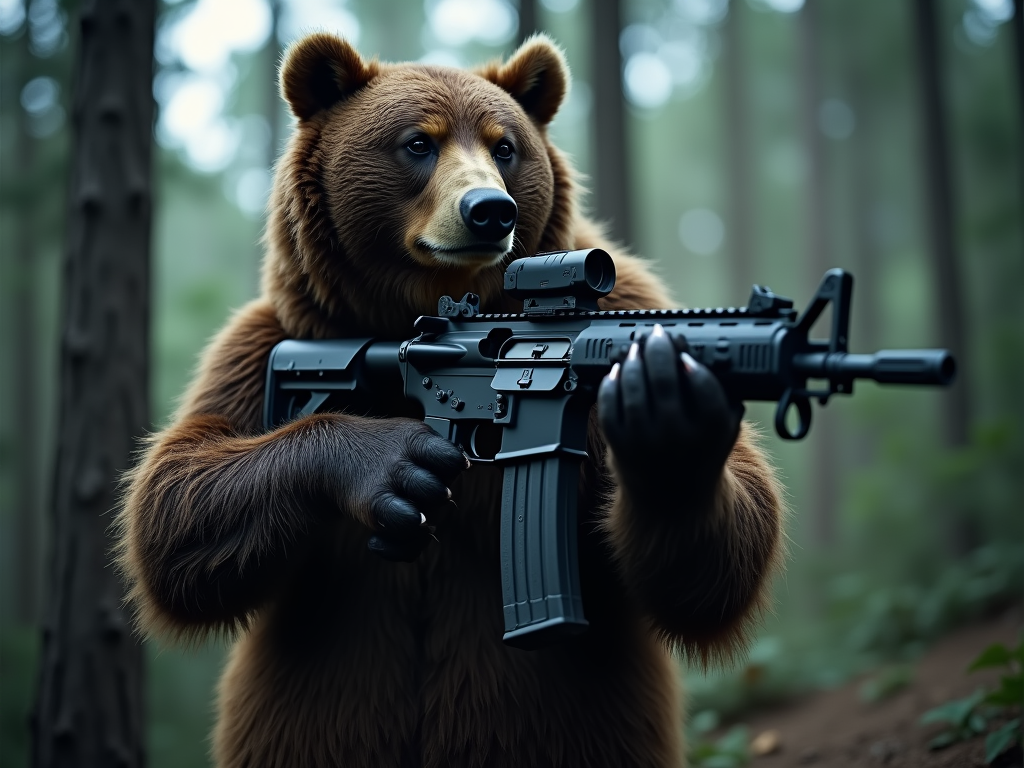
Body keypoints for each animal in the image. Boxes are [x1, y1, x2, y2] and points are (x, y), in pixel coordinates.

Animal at [116, 32, 784, 768]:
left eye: (505, 146)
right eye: (418, 142)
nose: (491, 210)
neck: (409, 323)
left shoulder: (630, 304)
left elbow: (719, 559)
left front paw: (673, 436)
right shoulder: (268, 340)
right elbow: (173, 507)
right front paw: (383, 464)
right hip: (310, 716)